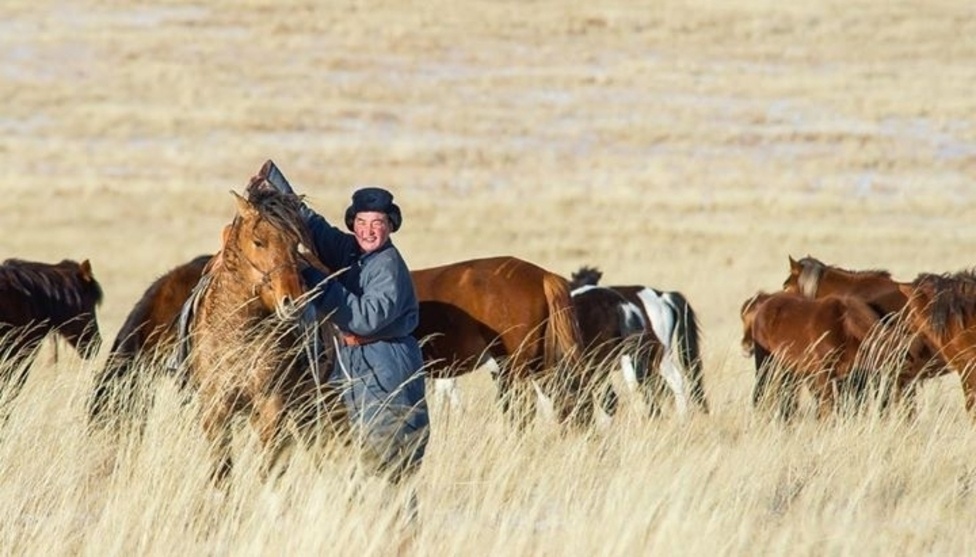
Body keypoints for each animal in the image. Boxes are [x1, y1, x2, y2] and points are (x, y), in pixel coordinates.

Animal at [744, 288, 880, 420]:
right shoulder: (825, 375)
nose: (745, 346)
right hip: (766, 362)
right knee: (760, 391)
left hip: (789, 368)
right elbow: (828, 407)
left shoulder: (849, 375)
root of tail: (765, 306)